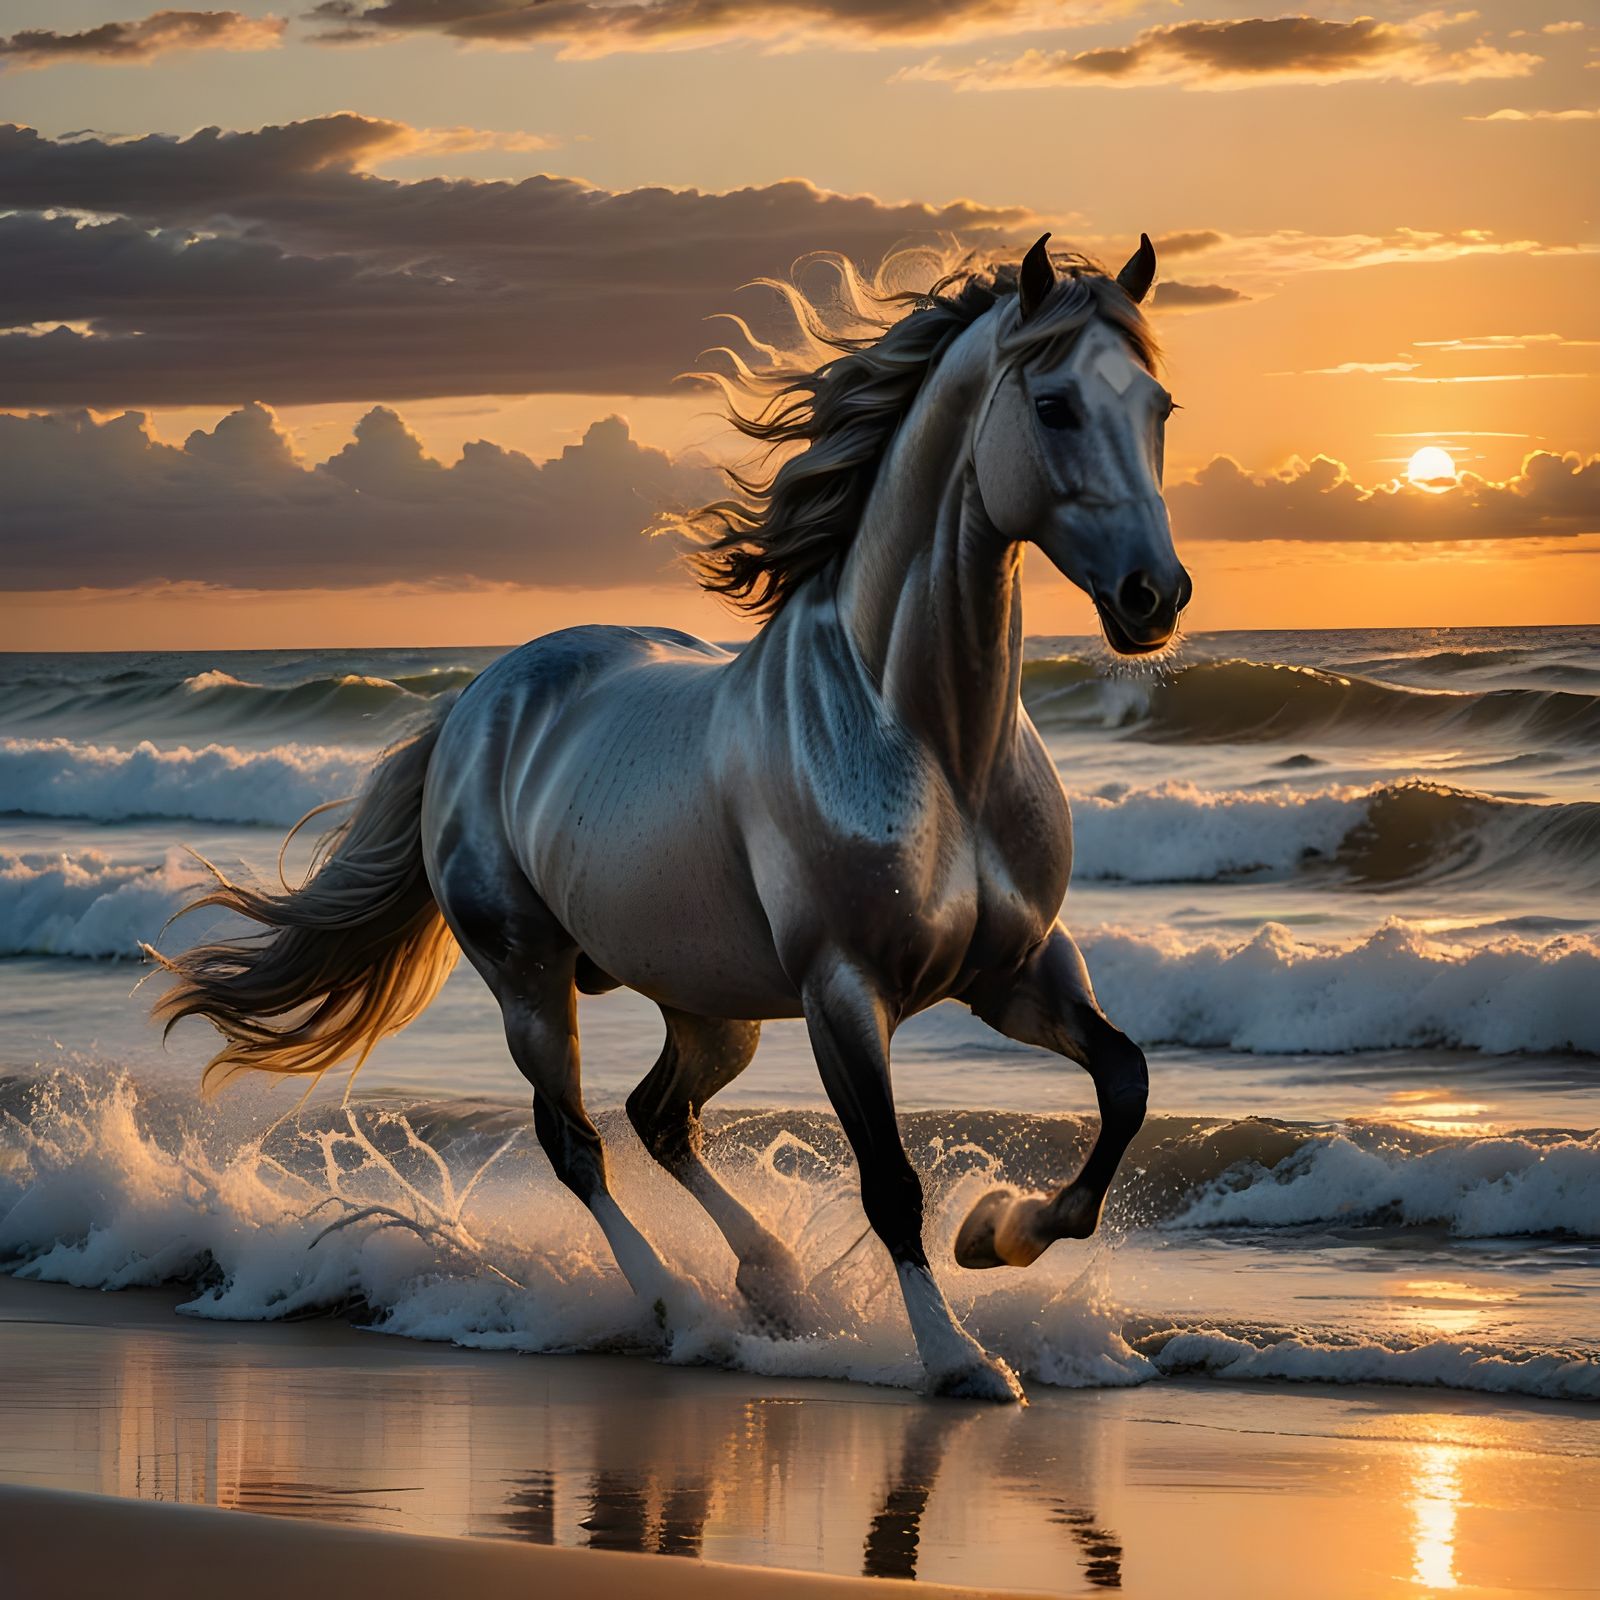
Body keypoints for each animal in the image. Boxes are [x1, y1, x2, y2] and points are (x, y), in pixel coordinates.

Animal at [153, 233, 1191, 1403]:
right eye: (1053, 406)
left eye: (1158, 405)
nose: (1155, 596)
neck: (929, 744)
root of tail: (476, 701)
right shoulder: (844, 994)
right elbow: (889, 1181)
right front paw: (959, 1357)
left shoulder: (1016, 970)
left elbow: (1124, 1081)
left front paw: (999, 1233)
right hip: (529, 980)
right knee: (577, 1141)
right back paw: (676, 1305)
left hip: (709, 1003)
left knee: (662, 1116)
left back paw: (772, 1283)